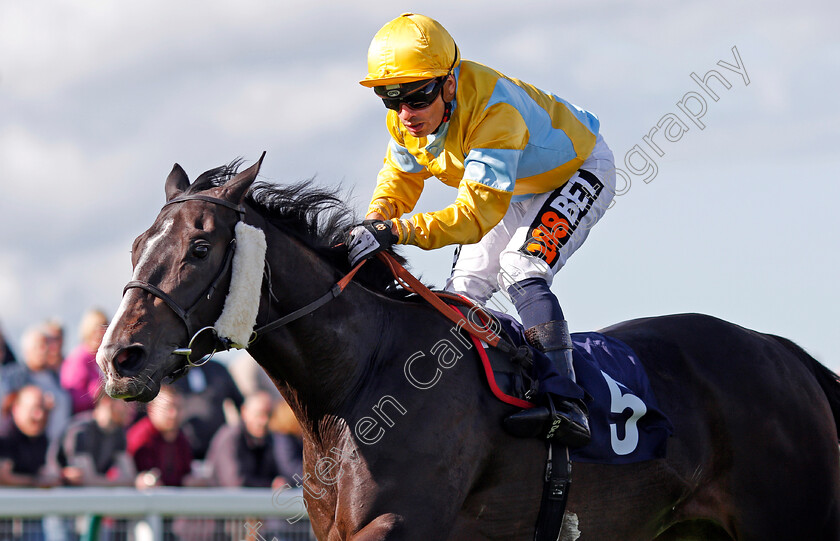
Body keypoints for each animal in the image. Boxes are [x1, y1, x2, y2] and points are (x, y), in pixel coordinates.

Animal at [98, 156, 840, 540]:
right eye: (136, 245)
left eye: (199, 247)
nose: (119, 358)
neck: (357, 382)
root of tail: (782, 352)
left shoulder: (402, 524)